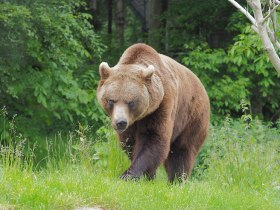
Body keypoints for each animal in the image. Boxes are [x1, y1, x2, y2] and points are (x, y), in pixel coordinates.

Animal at [97, 43, 209, 182]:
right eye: (111, 100)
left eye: (131, 102)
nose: (120, 122)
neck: (138, 118)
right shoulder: (130, 127)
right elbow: (129, 143)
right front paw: (148, 176)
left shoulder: (161, 105)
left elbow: (153, 138)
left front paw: (128, 175)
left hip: (192, 116)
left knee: (183, 150)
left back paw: (177, 179)